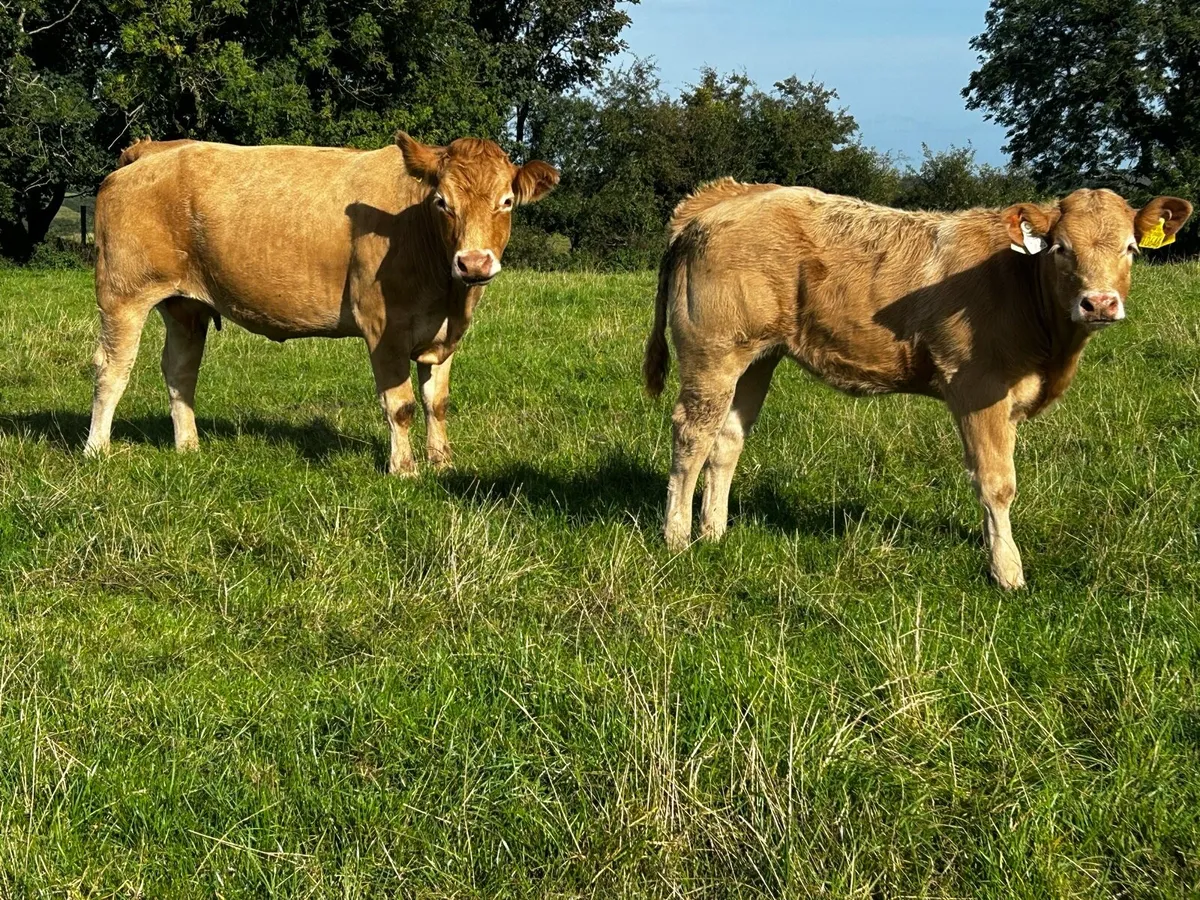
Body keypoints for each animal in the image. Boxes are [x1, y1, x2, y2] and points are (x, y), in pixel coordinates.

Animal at [84, 133, 559, 475]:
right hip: (123, 294)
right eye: (443, 203)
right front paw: (404, 469)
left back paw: (188, 446)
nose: (474, 262)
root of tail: (154, 151)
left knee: (180, 370)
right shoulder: (383, 328)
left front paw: (442, 463)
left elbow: (436, 402)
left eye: (506, 202)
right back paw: (96, 450)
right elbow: (401, 404)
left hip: (186, 306)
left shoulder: (444, 336)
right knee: (112, 369)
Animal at [643, 180, 1191, 588]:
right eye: (1060, 249)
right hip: (713, 353)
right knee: (691, 436)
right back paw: (677, 538)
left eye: (1130, 248)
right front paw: (1007, 572)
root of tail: (720, 200)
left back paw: (714, 533)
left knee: (727, 439)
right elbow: (997, 483)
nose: (1099, 303)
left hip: (757, 356)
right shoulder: (978, 387)